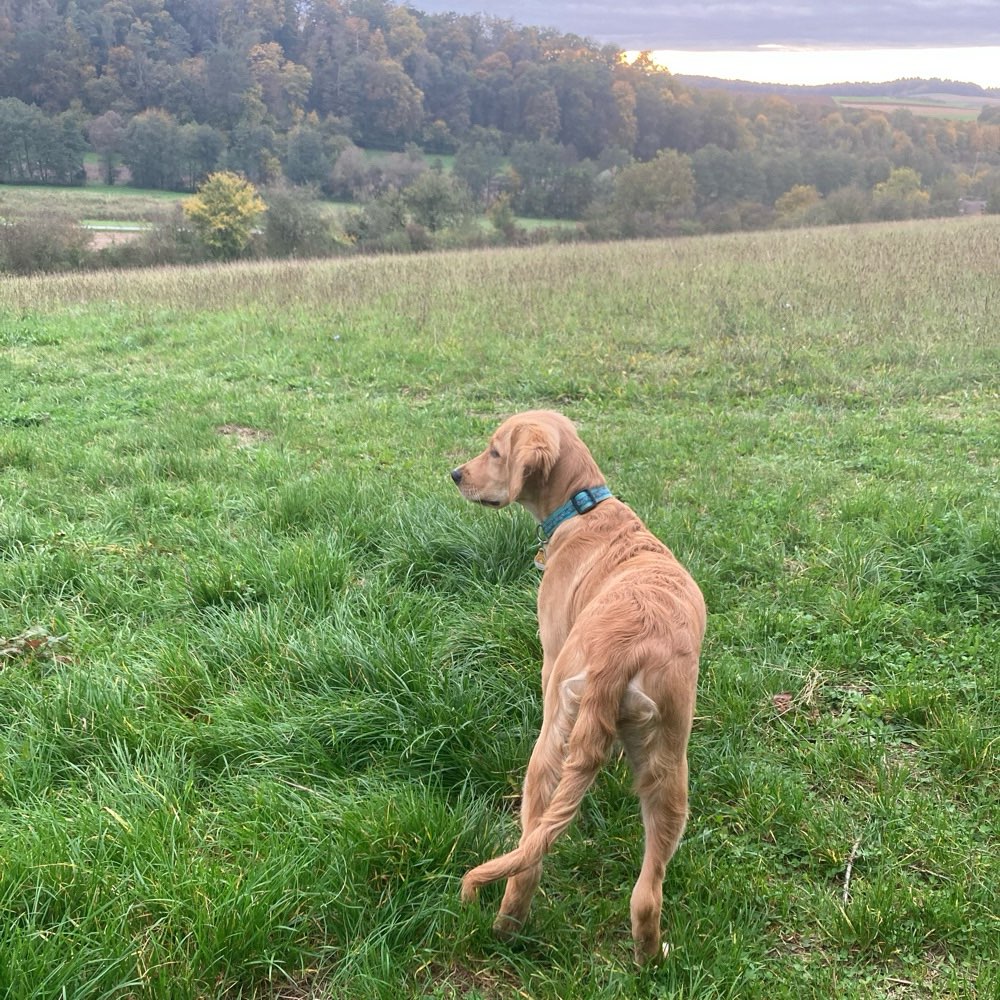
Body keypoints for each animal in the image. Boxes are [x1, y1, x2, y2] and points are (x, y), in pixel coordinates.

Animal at [450, 410, 708, 964]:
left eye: (495, 452)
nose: (455, 474)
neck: (584, 507)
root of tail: (619, 655)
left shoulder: (549, 653)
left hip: (552, 741)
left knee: (528, 858)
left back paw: (504, 930)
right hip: (670, 766)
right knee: (646, 895)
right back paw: (651, 960)